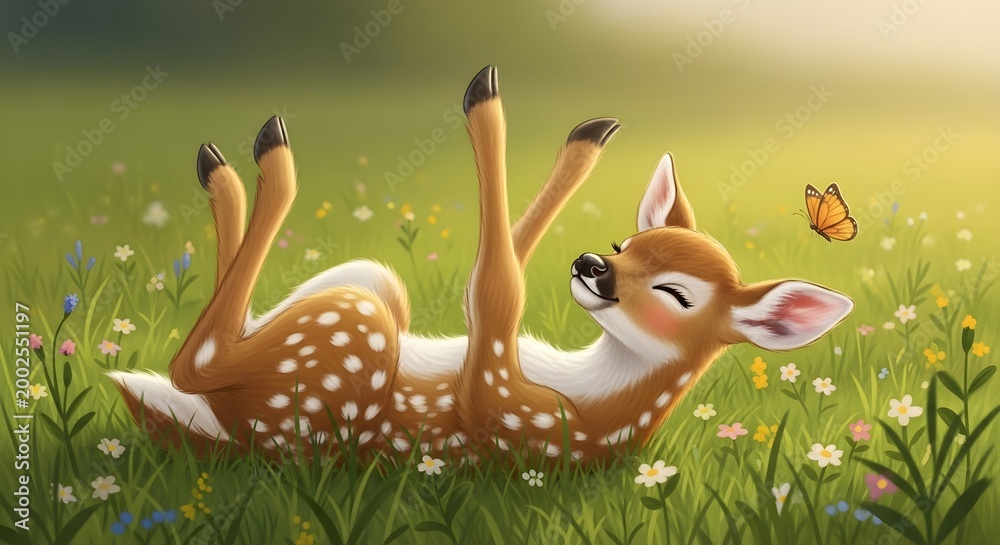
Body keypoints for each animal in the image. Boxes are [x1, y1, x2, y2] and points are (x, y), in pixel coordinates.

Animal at [109, 66, 853, 465]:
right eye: (624, 246)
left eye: (675, 294)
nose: (592, 265)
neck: (601, 401)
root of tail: (226, 435)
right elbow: (506, 267)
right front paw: (583, 139)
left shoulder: (510, 415)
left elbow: (497, 288)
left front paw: (490, 105)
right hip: (368, 286)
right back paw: (232, 169)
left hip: (347, 343)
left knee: (197, 361)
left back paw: (257, 161)